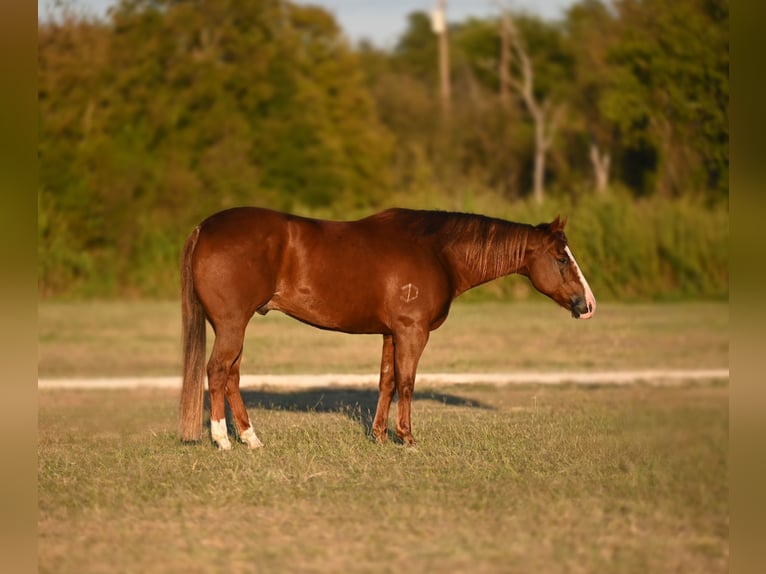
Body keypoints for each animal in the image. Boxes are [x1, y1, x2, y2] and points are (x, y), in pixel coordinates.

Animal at [179, 207, 596, 449]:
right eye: (561, 258)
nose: (587, 305)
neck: (436, 252)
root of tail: (204, 227)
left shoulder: (391, 333)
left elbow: (387, 381)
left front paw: (379, 436)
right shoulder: (413, 331)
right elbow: (407, 382)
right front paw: (407, 438)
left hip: (234, 326)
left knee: (231, 376)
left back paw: (251, 439)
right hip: (232, 324)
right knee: (218, 371)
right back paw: (222, 440)